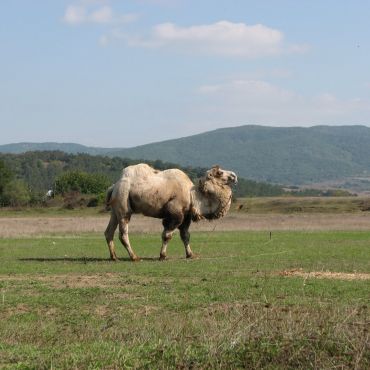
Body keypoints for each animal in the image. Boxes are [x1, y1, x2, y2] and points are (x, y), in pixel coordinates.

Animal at [104, 163, 237, 262]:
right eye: (220, 173)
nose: (234, 175)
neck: (192, 196)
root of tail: (114, 186)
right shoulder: (175, 214)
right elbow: (167, 235)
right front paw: (162, 256)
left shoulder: (186, 216)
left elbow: (185, 235)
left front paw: (190, 255)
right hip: (123, 201)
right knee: (123, 233)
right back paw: (134, 257)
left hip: (115, 208)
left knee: (109, 232)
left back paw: (114, 257)